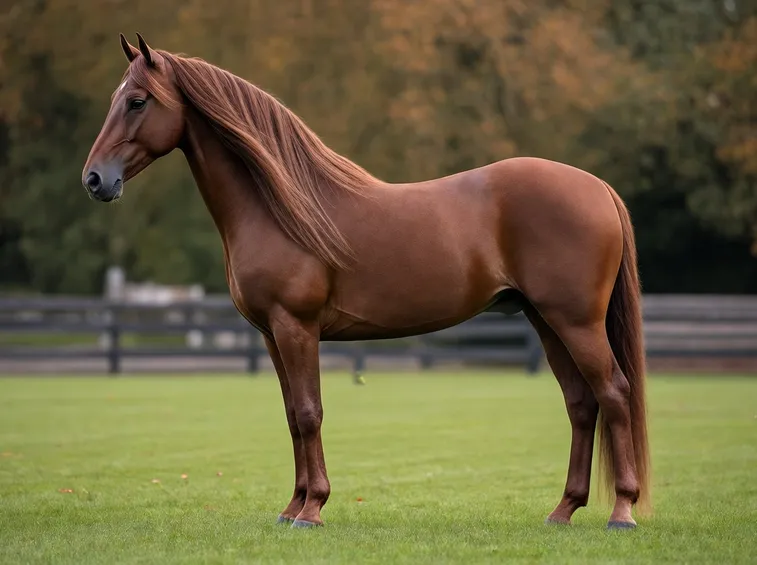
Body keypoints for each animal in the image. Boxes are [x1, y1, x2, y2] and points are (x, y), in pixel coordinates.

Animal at [82, 33, 651, 530]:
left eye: (136, 101)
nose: (94, 179)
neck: (277, 207)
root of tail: (596, 186)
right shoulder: (270, 336)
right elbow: (291, 417)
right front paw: (291, 507)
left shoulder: (296, 327)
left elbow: (309, 412)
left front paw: (312, 510)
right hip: (546, 321)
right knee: (581, 403)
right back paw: (563, 510)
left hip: (576, 322)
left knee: (614, 393)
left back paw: (622, 511)